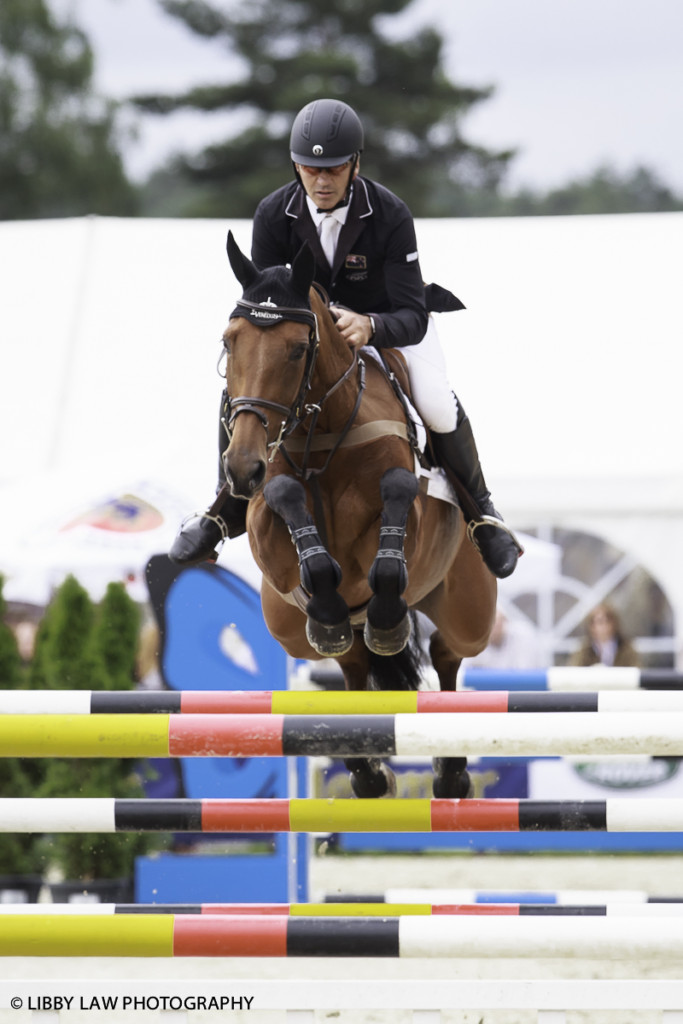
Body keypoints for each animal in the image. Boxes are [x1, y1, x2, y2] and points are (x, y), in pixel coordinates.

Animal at [223, 234, 497, 798]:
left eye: (297, 349)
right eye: (229, 341)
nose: (241, 467)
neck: (321, 427)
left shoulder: (406, 518)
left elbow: (393, 524)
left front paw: (386, 620)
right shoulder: (270, 540)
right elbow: (286, 504)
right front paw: (327, 602)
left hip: (471, 611)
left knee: (446, 652)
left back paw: (452, 770)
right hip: (287, 628)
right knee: (348, 662)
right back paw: (364, 769)